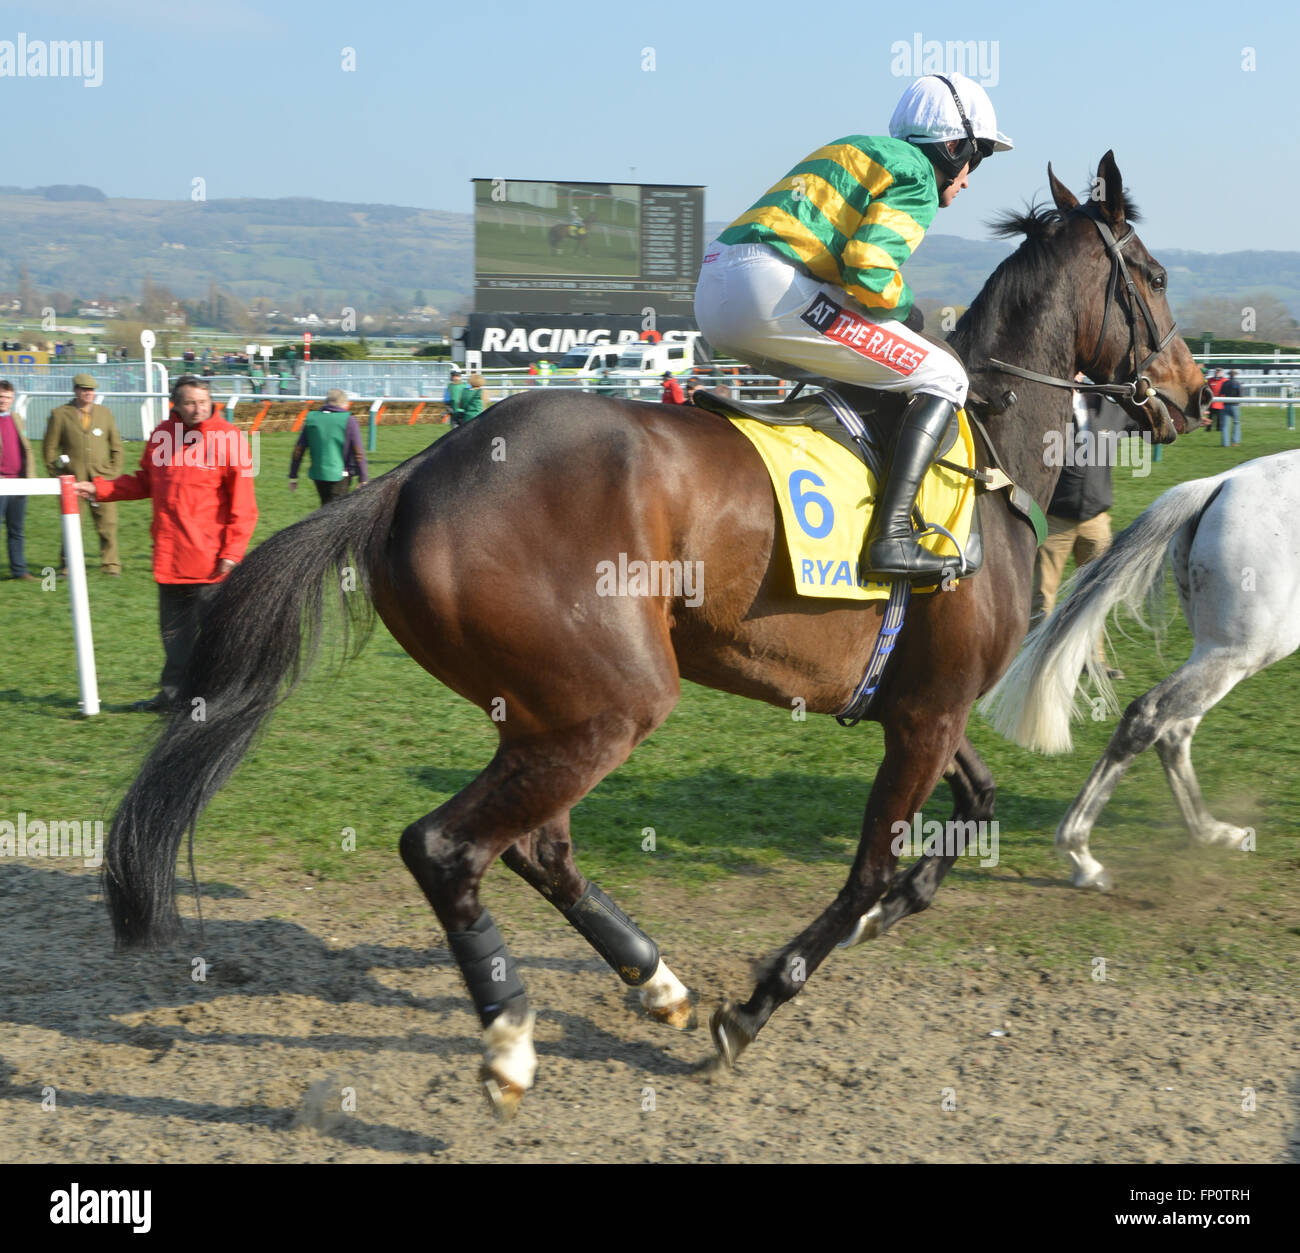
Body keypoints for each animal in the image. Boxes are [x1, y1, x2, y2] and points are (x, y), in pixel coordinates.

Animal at [104, 154, 1206, 1117]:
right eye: (1152, 276)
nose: (1195, 394)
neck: (986, 452)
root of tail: (412, 476)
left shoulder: (920, 704)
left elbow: (971, 810)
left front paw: (890, 910)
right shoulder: (927, 715)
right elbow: (868, 866)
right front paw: (761, 1000)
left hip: (545, 707)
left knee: (537, 844)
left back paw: (656, 981)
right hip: (613, 701)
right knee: (448, 846)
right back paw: (511, 1038)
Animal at [977, 449, 1294, 889]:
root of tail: (1221, 481)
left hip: (1216, 654)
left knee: (1174, 730)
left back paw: (1208, 831)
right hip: (1236, 653)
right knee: (1148, 717)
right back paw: (1081, 854)